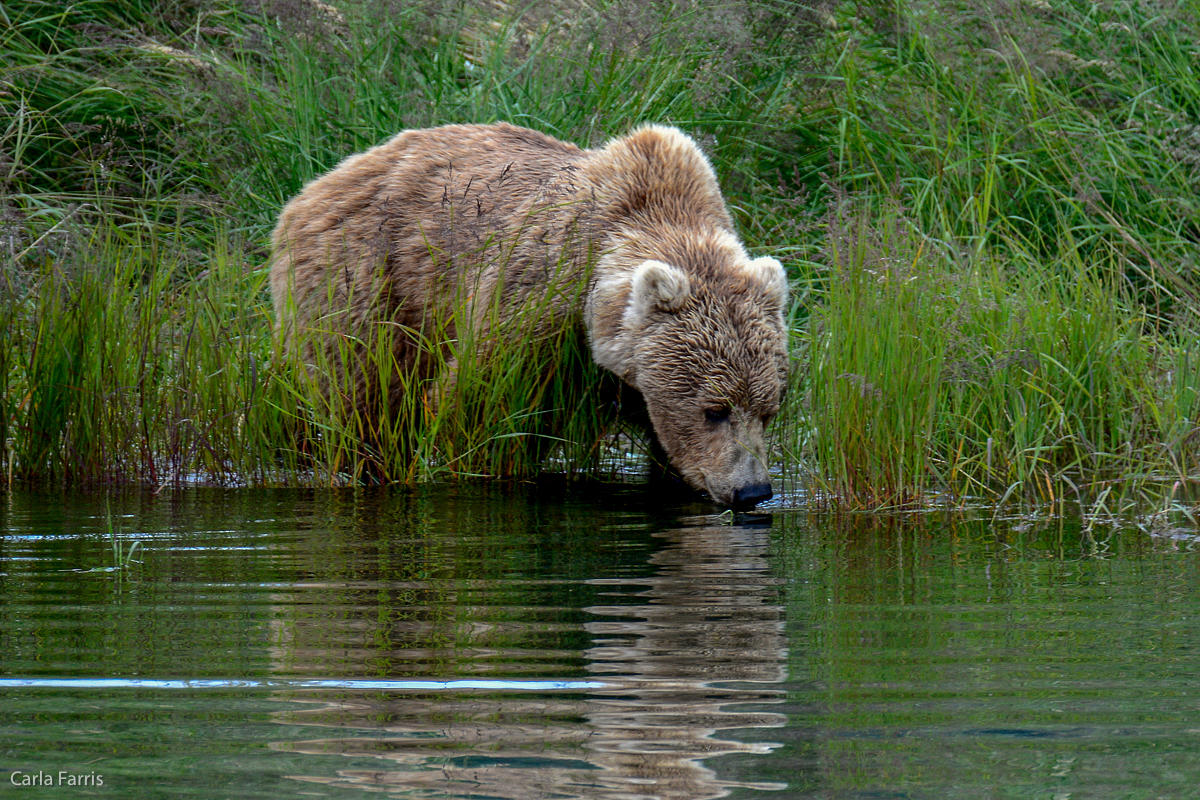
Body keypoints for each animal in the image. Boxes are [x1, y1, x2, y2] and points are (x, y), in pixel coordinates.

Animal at [271, 122, 787, 510]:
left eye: (769, 410)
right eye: (714, 410)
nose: (753, 492)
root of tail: (320, 183)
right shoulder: (539, 304)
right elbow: (475, 407)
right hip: (368, 278)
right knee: (362, 393)